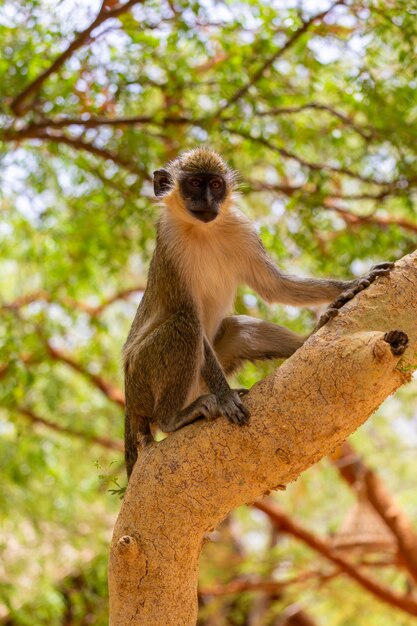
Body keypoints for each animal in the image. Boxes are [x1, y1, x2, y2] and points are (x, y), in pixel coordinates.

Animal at [122, 147, 392, 478]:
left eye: (216, 185)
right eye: (195, 184)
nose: (208, 201)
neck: (203, 231)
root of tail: (129, 401)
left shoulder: (242, 231)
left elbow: (273, 286)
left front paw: (354, 283)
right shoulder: (170, 248)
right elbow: (189, 314)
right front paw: (226, 398)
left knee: (238, 328)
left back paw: (311, 336)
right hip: (142, 374)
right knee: (184, 325)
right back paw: (172, 418)